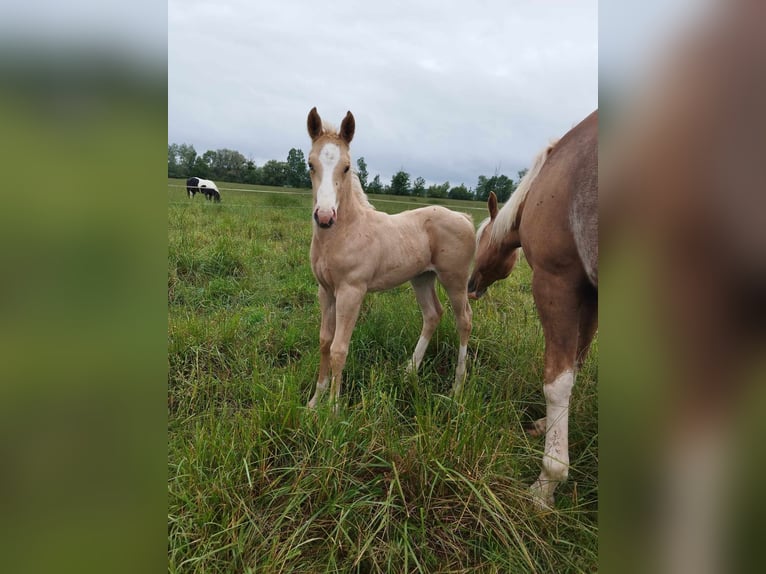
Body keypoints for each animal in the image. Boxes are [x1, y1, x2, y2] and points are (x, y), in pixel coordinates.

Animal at [304, 108, 474, 412]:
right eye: (310, 164)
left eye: (346, 167)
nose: (324, 217)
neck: (344, 232)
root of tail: (464, 217)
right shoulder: (325, 291)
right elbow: (324, 342)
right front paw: (314, 402)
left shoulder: (351, 292)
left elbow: (339, 348)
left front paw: (333, 411)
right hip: (422, 278)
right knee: (433, 314)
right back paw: (409, 371)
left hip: (455, 280)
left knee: (464, 320)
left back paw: (456, 389)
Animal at [468, 111, 600, 508]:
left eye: (479, 239)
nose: (470, 287)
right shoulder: (591, 295)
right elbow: (576, 363)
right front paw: (546, 426)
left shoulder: (555, 282)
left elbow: (557, 381)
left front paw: (546, 484)